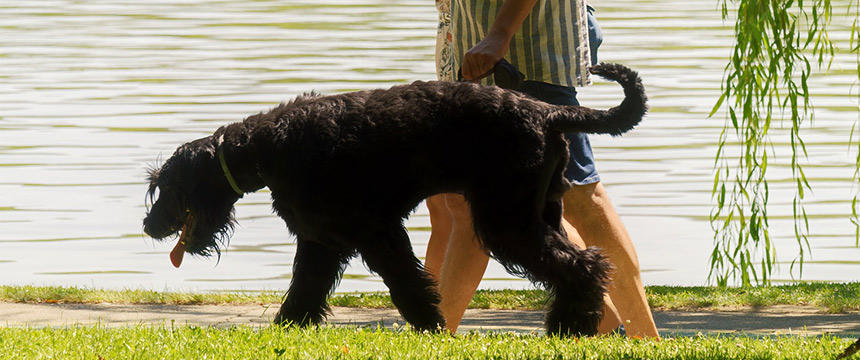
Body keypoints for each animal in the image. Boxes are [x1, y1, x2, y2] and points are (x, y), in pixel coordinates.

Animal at [143, 63, 644, 336]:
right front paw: (288, 329)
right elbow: (305, 289)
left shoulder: (375, 232)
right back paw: (571, 324)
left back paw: (570, 326)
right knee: (587, 261)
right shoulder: (321, 240)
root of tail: (547, 112)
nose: (150, 225)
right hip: (539, 213)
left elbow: (406, 283)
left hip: (508, 220)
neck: (266, 148)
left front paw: (431, 328)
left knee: (581, 265)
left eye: (166, 186)